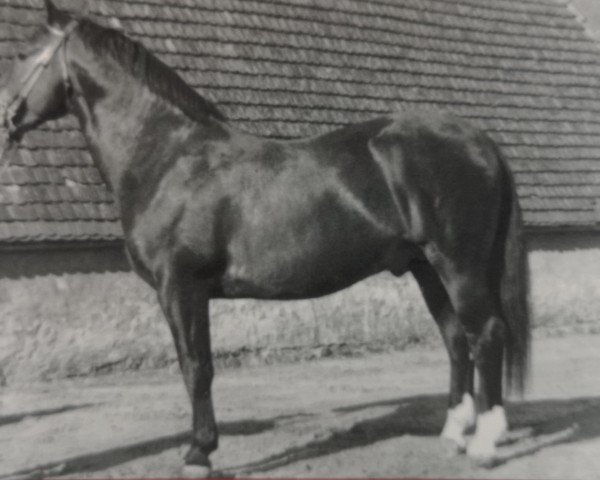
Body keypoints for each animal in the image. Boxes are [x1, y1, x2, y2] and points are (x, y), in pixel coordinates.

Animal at [2, 1, 528, 476]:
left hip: (458, 265)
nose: (4, 120)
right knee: (456, 338)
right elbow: (195, 366)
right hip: (426, 268)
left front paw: (199, 454)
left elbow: (197, 367)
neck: (168, 157)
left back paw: (484, 444)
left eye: (24, 53)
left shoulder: (182, 287)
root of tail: (480, 140)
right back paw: (455, 434)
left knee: (486, 334)